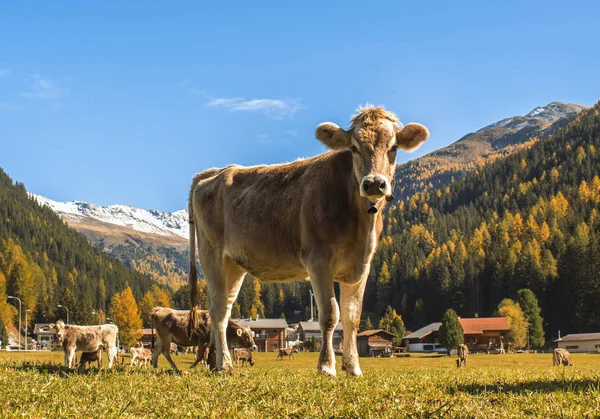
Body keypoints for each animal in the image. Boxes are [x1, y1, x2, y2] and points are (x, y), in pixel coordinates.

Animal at [188, 106, 426, 376]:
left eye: (393, 147)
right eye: (354, 148)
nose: (374, 183)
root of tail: (214, 172)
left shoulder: (362, 266)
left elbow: (352, 318)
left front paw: (353, 368)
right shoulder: (318, 260)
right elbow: (330, 315)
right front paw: (326, 366)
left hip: (234, 264)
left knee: (225, 308)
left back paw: (216, 362)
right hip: (211, 254)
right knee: (218, 310)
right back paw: (224, 364)